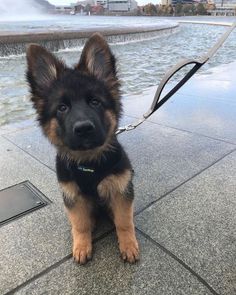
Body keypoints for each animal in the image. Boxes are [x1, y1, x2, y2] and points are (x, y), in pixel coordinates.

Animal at [26, 33, 139, 264]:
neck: (89, 163)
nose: (84, 128)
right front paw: (81, 246)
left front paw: (128, 245)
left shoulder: (121, 190)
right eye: (62, 108)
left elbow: (124, 222)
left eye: (95, 102)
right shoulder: (73, 196)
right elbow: (80, 224)